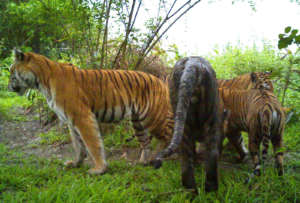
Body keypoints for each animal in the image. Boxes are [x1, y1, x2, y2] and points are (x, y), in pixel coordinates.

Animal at [8, 50, 173, 174]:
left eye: (11, 72)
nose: (8, 87)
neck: (42, 82)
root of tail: (161, 81)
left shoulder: (82, 116)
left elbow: (92, 144)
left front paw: (99, 169)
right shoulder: (70, 121)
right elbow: (78, 145)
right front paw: (76, 163)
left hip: (153, 117)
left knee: (168, 136)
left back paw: (160, 158)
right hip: (138, 122)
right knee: (146, 142)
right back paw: (143, 162)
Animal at [151, 56, 226, 193]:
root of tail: (193, 65)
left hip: (182, 113)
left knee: (188, 158)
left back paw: (193, 190)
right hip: (210, 120)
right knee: (211, 153)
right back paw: (210, 190)